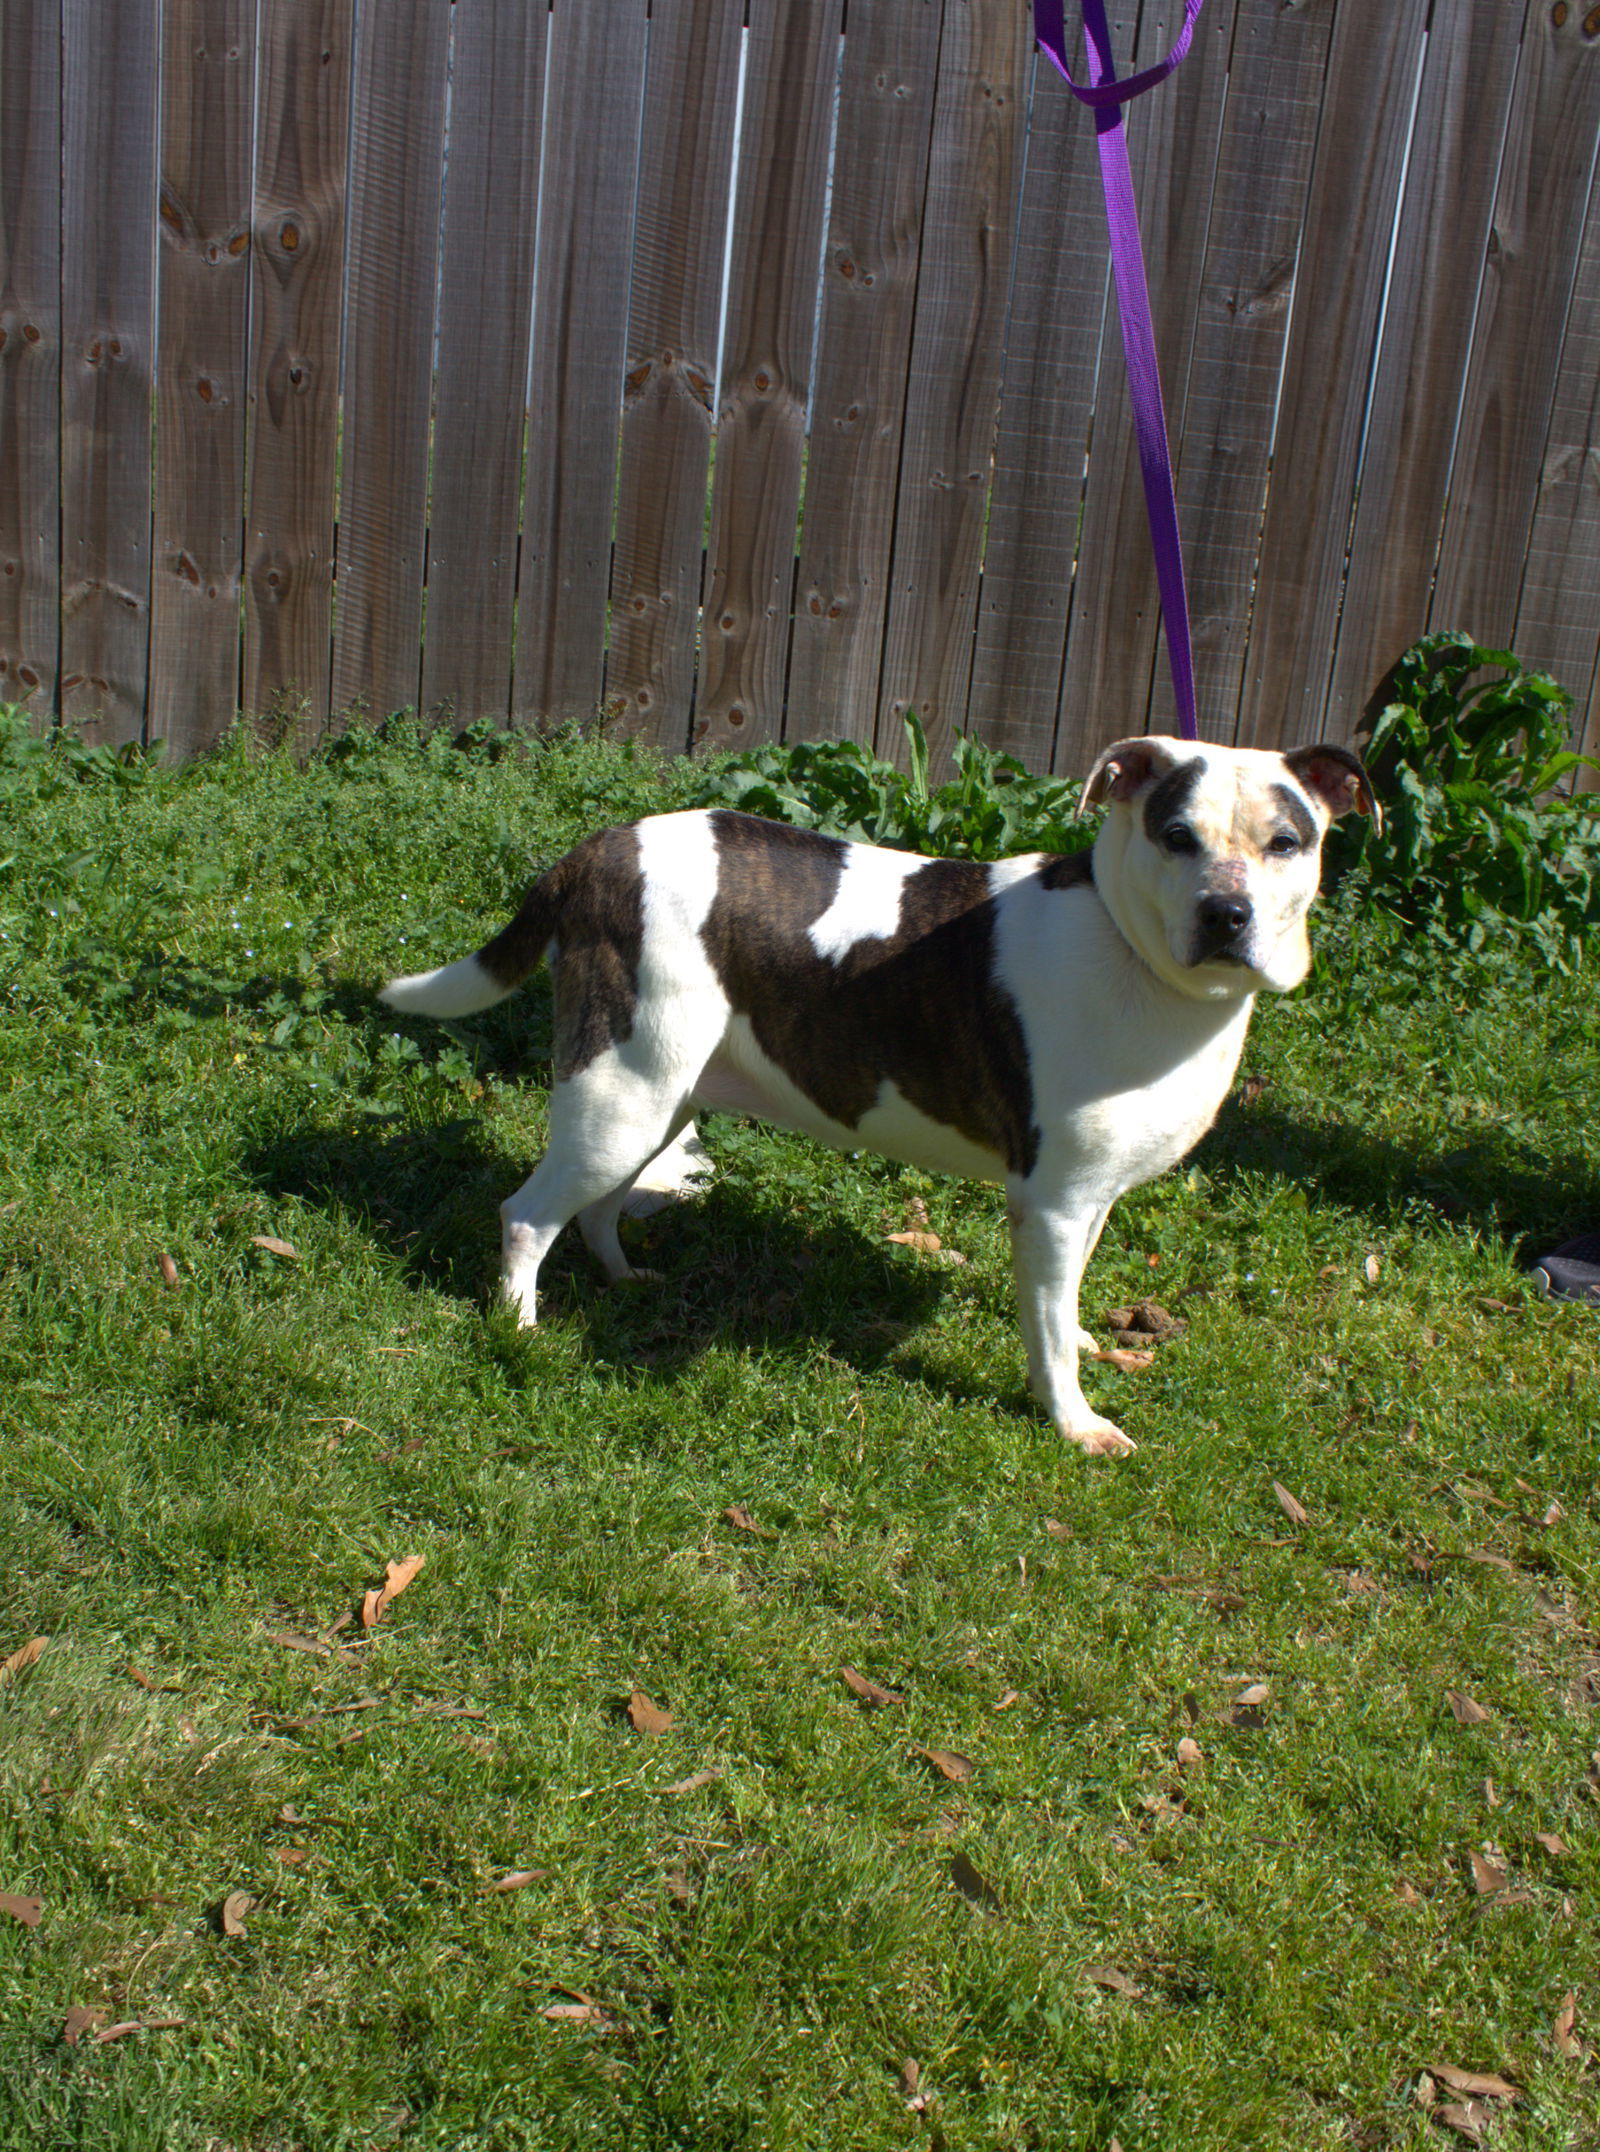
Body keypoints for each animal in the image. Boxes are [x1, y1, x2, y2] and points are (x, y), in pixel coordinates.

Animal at [381, 740, 1369, 1463]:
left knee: (595, 1206)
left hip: (656, 1097)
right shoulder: (1050, 1202)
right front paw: (1074, 1423)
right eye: (1176, 836)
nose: (1226, 915)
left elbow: (1070, 1299)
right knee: (525, 1214)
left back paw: (623, 1279)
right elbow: (1046, 1335)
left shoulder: (1089, 1196)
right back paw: (519, 1328)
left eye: (1286, 842)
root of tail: (599, 849)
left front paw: (1089, 1341)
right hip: (621, 1094)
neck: (1138, 957)